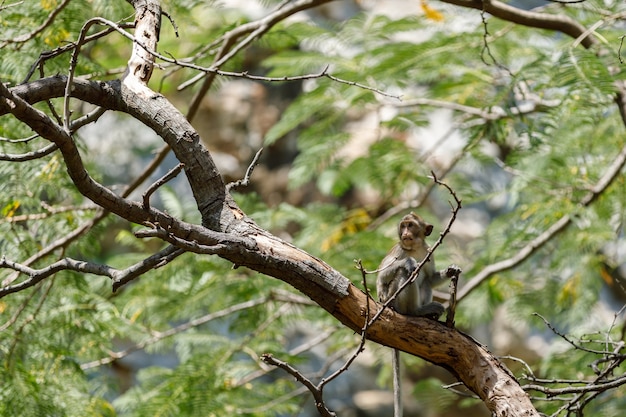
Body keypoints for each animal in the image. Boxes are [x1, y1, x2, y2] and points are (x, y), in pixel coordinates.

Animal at [372, 213, 456, 416]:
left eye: (410, 225)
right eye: (402, 226)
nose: (405, 233)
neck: (414, 248)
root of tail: (386, 305)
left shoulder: (428, 252)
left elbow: (431, 279)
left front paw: (450, 270)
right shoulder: (400, 250)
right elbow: (382, 277)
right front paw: (409, 262)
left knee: (424, 280)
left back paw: (427, 314)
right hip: (393, 300)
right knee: (406, 274)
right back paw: (415, 311)